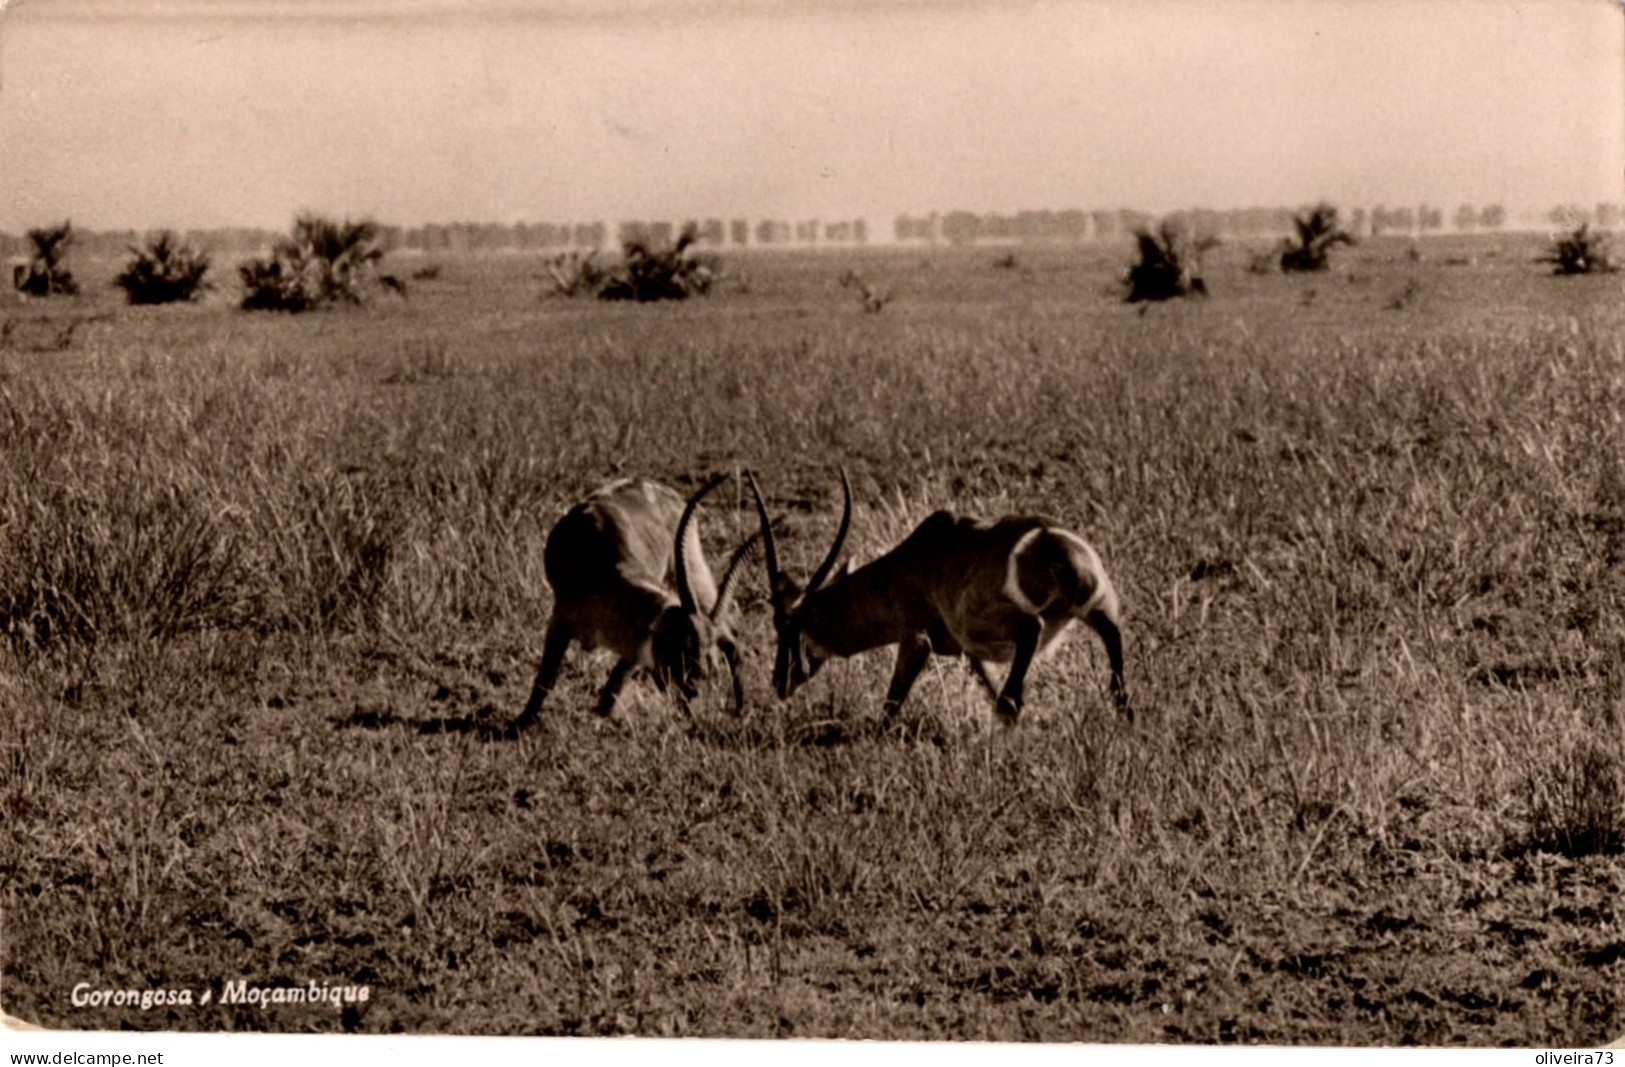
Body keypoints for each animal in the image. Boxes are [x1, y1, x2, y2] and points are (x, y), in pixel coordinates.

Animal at [510, 477, 757, 734]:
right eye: (682, 644)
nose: (696, 685)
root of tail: (660, 488)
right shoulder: (560, 621)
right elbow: (546, 676)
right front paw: (522, 721)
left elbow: (623, 668)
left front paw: (605, 708)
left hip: (694, 571)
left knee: (731, 629)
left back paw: (740, 707)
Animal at [747, 470, 1131, 727]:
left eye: (791, 630)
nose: (778, 682)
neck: (908, 564)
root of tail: (1055, 547)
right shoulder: (971, 654)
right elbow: (986, 683)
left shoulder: (916, 638)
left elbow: (892, 703)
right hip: (1099, 607)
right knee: (1114, 644)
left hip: (993, 622)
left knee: (1030, 637)